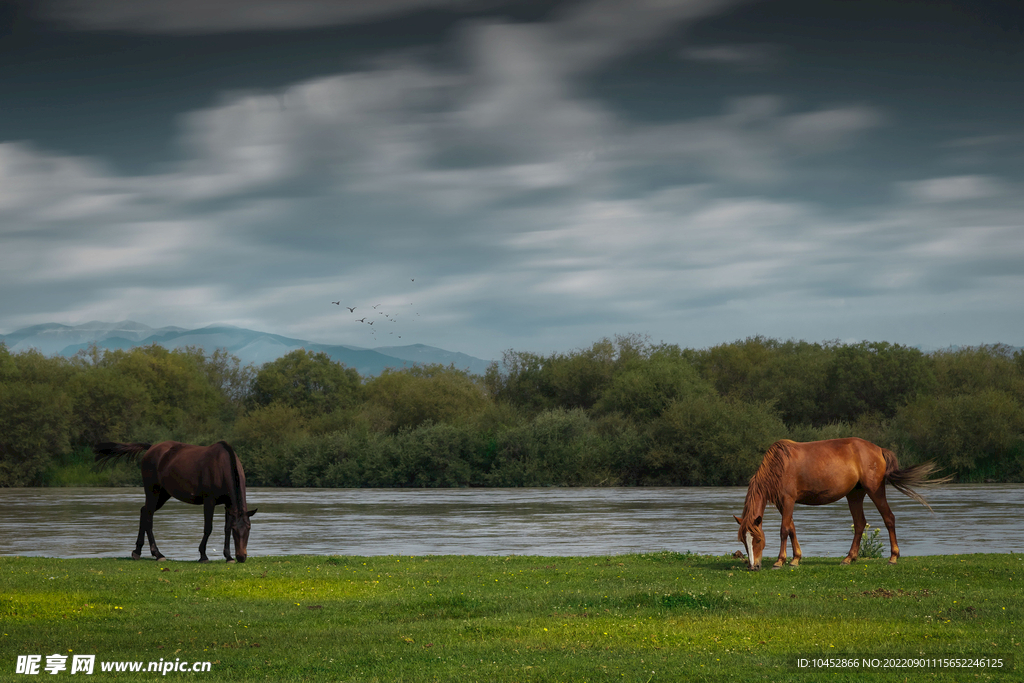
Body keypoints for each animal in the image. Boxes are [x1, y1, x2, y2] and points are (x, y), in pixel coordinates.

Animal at [94, 440, 256, 565]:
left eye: (249, 528)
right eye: (236, 531)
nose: (241, 557)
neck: (222, 466)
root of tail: (151, 447)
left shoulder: (229, 504)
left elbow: (225, 528)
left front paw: (228, 557)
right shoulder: (209, 501)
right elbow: (208, 528)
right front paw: (203, 556)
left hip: (164, 494)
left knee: (144, 512)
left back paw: (138, 551)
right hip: (153, 491)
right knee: (148, 516)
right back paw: (157, 554)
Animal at [737, 438, 950, 573]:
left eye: (757, 540)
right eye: (743, 542)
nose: (753, 566)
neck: (780, 465)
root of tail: (878, 450)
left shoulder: (788, 501)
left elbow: (783, 530)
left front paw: (780, 561)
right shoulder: (783, 504)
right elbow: (792, 530)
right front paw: (796, 559)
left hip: (875, 490)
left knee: (889, 518)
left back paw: (893, 557)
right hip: (854, 494)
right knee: (860, 523)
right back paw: (849, 558)